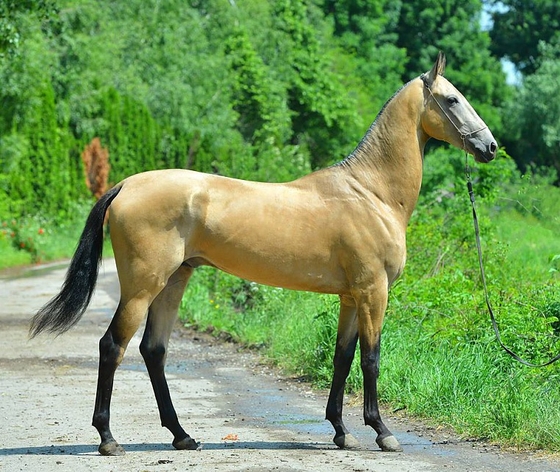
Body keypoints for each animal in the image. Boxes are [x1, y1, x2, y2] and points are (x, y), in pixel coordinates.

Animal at [29, 52, 494, 458]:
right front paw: (382, 432)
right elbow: (371, 359)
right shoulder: (372, 292)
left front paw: (341, 431)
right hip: (143, 287)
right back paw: (109, 439)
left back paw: (182, 436)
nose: (489, 147)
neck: (370, 193)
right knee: (113, 346)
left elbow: (342, 358)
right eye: (453, 99)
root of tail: (126, 185)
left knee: (153, 351)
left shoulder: (350, 296)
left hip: (175, 280)